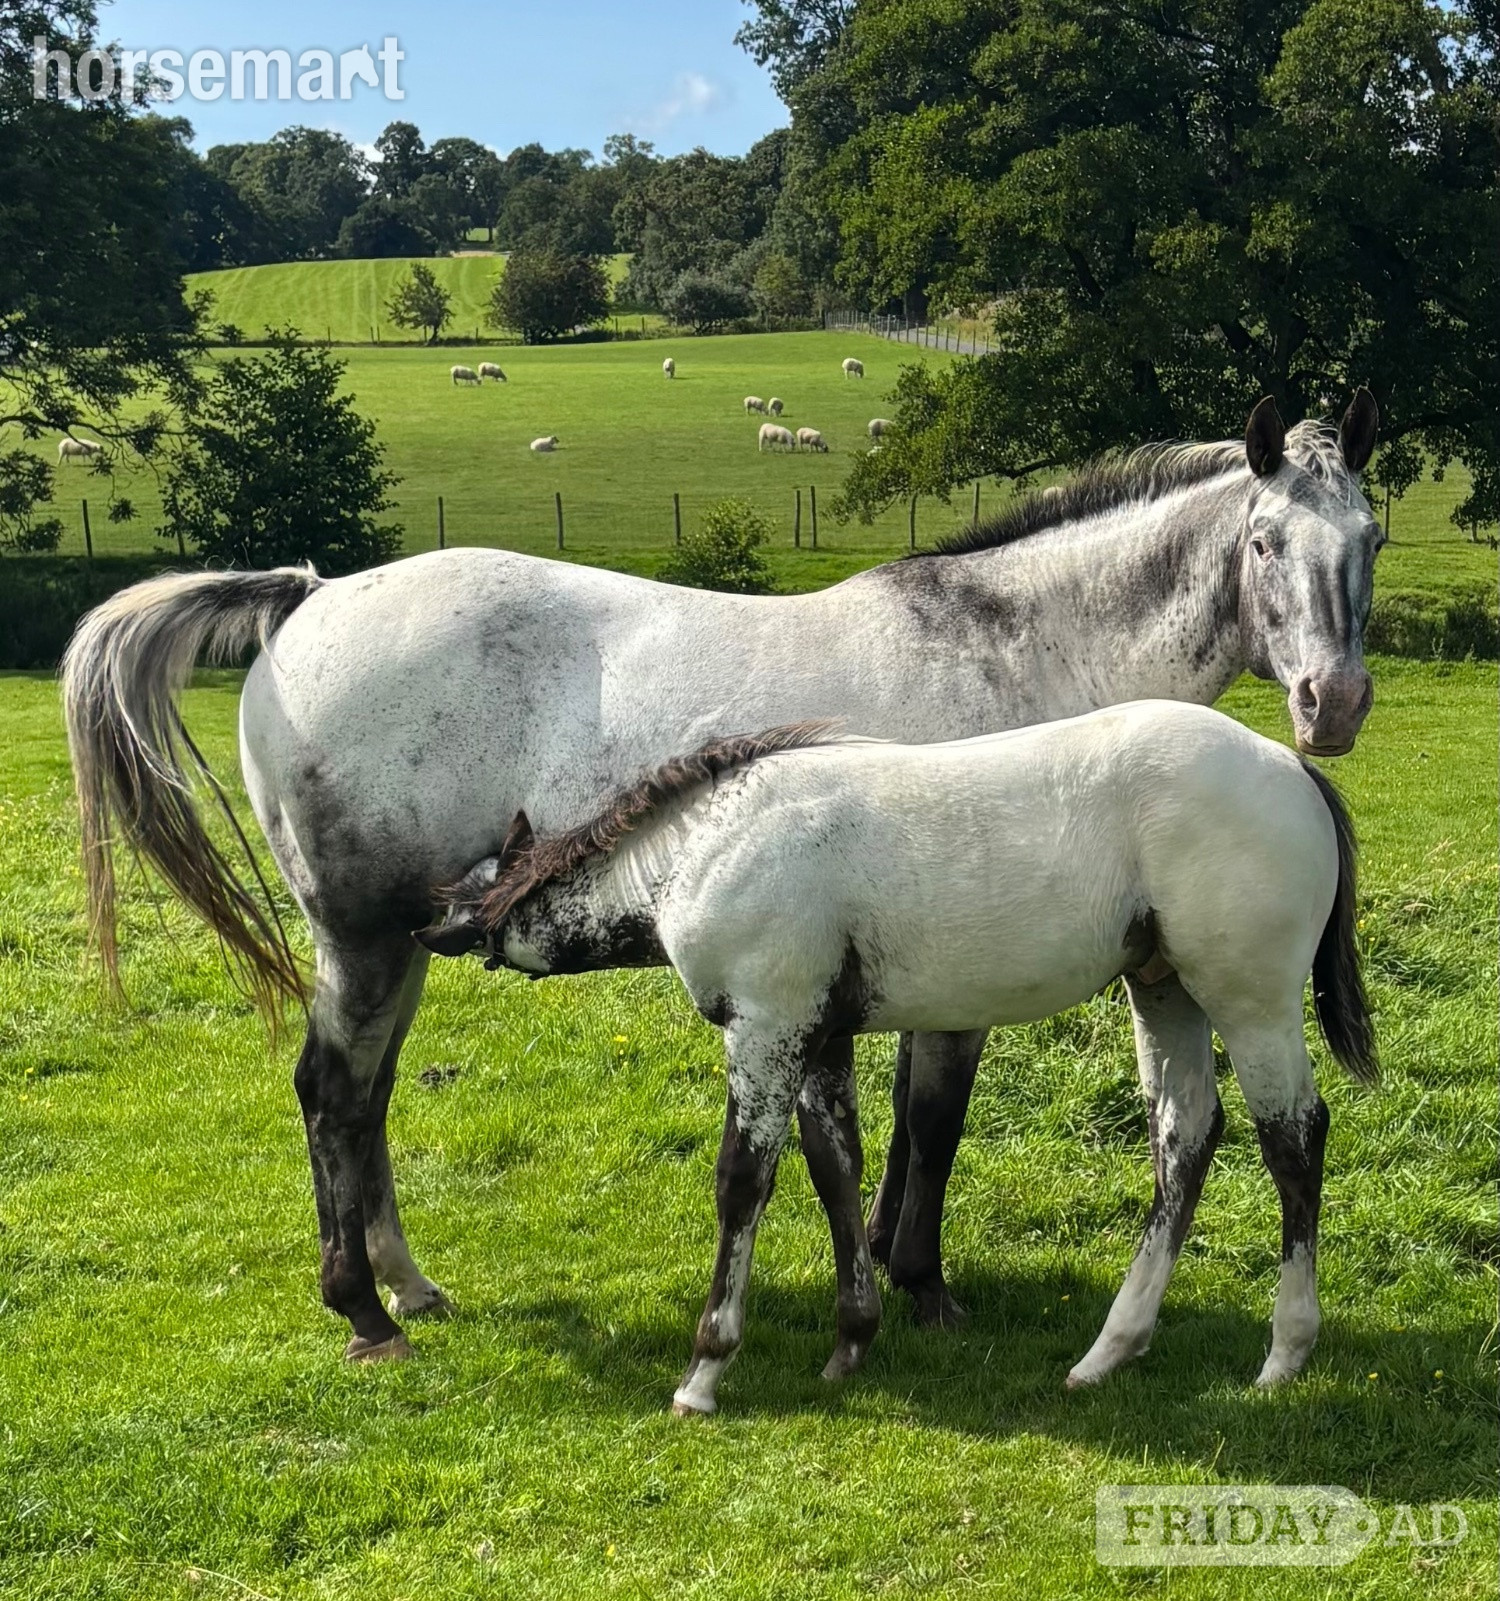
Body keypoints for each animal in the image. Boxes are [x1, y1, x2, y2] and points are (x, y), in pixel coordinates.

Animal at [415, 703, 1376, 1415]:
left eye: (470, 890)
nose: (422, 926)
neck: (704, 847)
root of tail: (1291, 768)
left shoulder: (764, 1027)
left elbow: (743, 1181)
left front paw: (705, 1370)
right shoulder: (819, 1035)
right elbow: (836, 1168)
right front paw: (851, 1341)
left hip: (1250, 999)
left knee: (1294, 1139)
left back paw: (1284, 1355)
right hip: (1162, 988)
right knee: (1185, 1138)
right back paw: (1109, 1351)